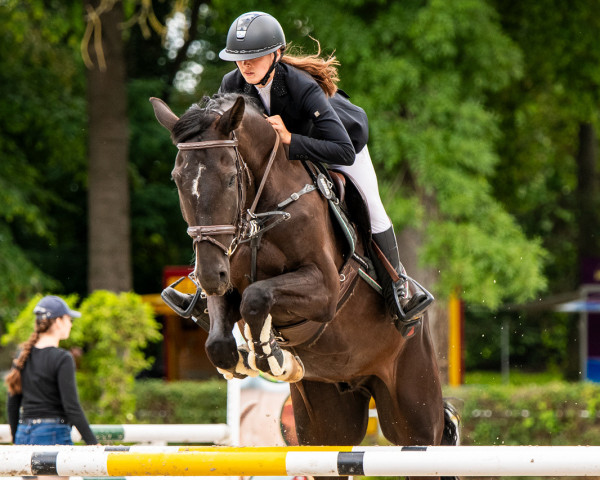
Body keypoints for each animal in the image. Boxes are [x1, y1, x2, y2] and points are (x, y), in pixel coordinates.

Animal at [151, 93, 460, 476]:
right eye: (178, 179)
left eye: (230, 178)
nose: (209, 275)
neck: (264, 211)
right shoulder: (227, 275)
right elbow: (221, 339)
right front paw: (256, 357)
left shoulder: (324, 288)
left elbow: (257, 297)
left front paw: (273, 356)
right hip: (326, 424)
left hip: (412, 414)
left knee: (427, 444)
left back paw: (405, 300)